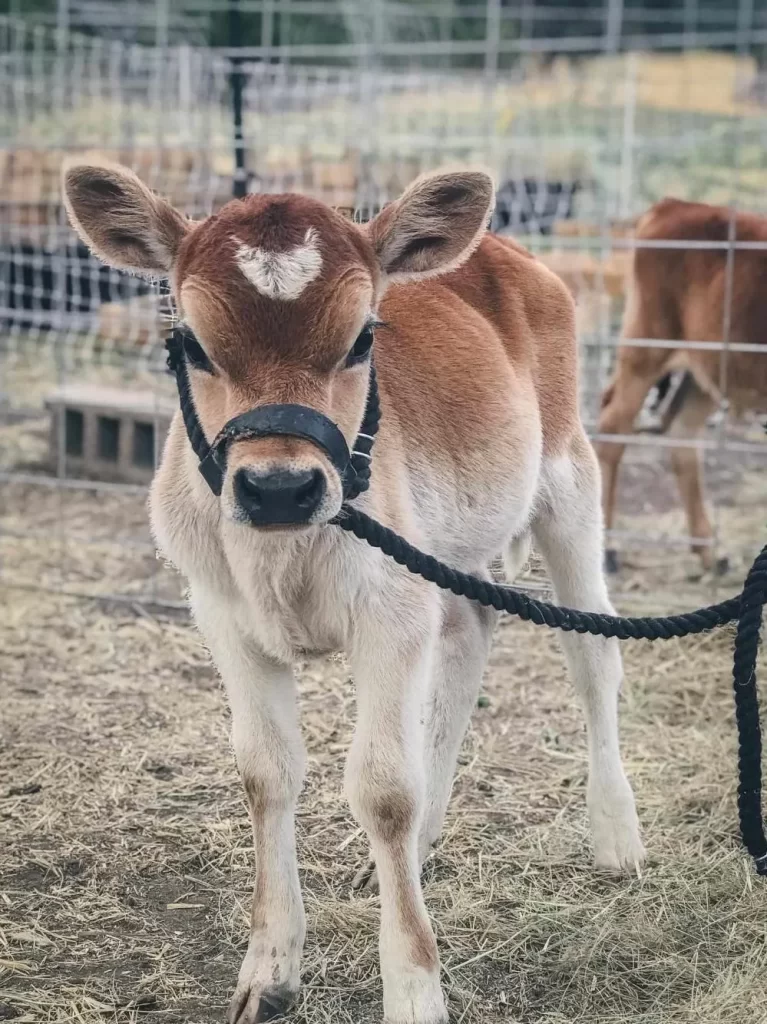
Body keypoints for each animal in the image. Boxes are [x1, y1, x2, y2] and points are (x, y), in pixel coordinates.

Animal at [64, 159, 638, 1024]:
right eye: (191, 342)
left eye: (363, 336)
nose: (279, 487)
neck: (283, 556)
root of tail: (505, 251)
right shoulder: (223, 616)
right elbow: (265, 772)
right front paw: (269, 969)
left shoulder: (389, 613)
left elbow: (383, 790)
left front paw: (414, 992)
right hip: (452, 549)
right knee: (471, 632)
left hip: (568, 477)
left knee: (590, 652)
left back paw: (616, 836)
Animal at [598, 195, 765, 573]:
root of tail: (674, 205)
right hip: (647, 347)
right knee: (613, 425)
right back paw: (608, 547)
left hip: (705, 368)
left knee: (682, 435)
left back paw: (709, 551)